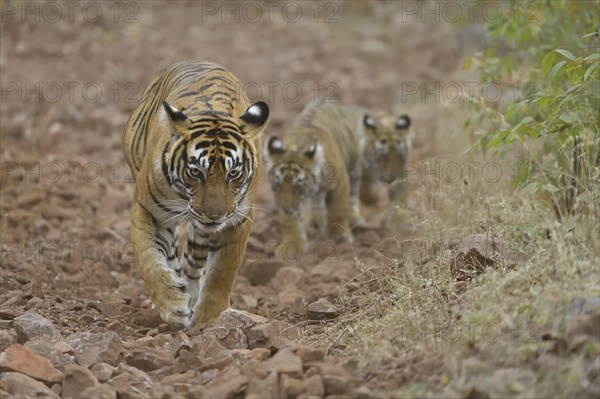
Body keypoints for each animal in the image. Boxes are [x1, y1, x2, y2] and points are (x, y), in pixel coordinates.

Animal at [123, 59, 268, 330]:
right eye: (195, 172)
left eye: (234, 173)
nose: (214, 215)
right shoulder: (147, 210)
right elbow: (149, 259)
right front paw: (171, 302)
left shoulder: (238, 219)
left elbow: (222, 272)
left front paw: (209, 321)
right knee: (170, 255)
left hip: (203, 233)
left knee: (192, 263)